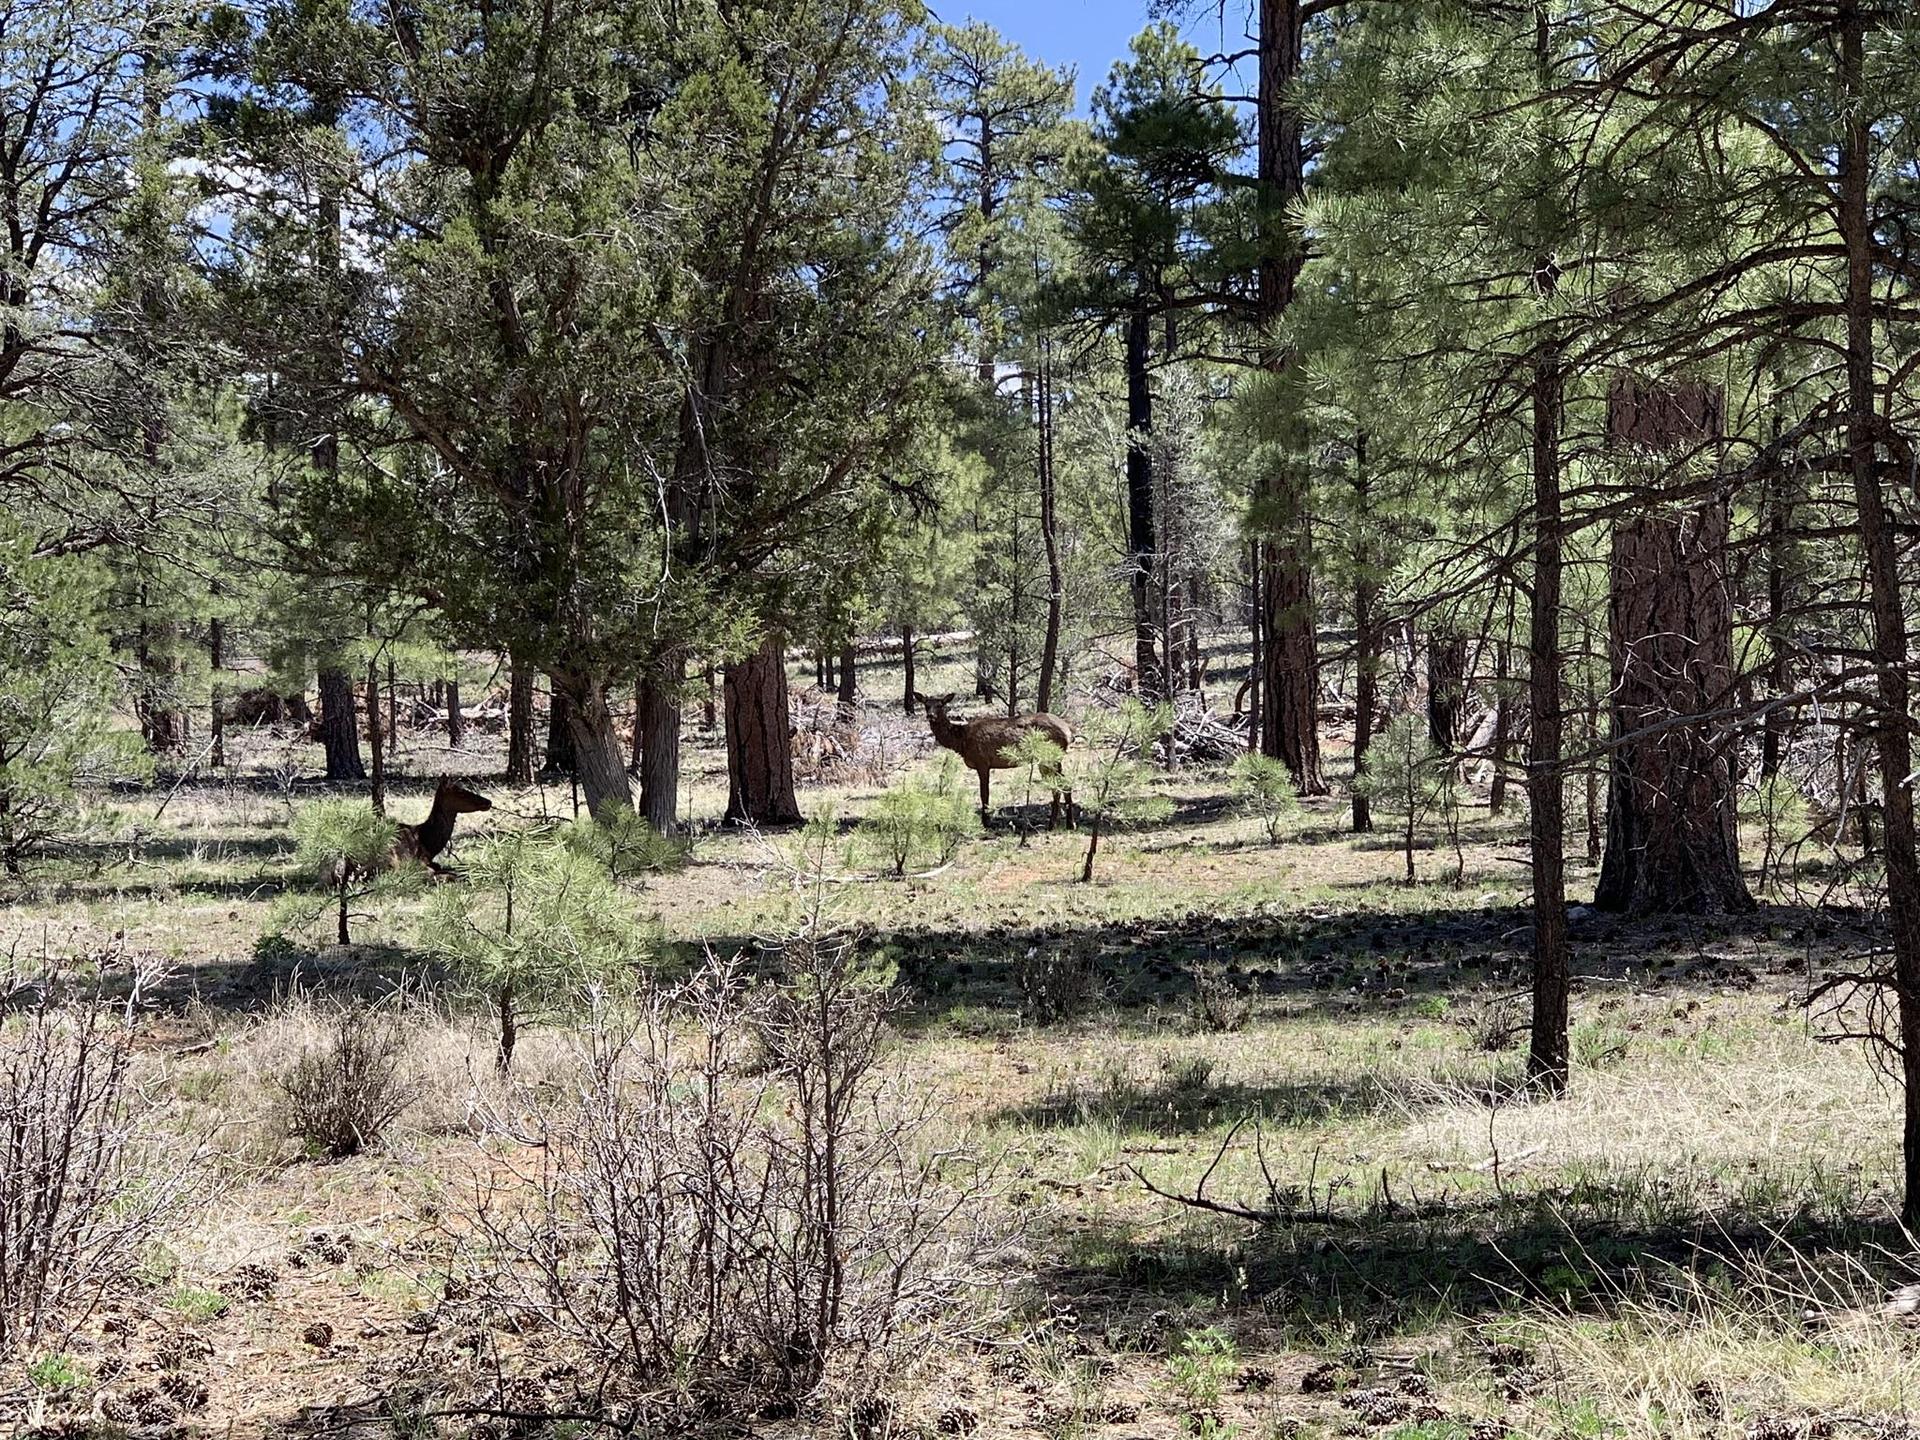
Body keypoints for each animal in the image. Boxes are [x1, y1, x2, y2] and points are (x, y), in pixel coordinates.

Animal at [912, 692, 1075, 829]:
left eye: (940, 705)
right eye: (926, 704)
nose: (930, 716)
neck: (962, 741)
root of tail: (1068, 733)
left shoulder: (982, 762)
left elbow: (984, 793)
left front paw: (986, 822)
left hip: (1049, 756)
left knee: (1060, 785)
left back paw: (1054, 824)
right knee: (1062, 784)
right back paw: (1067, 824)